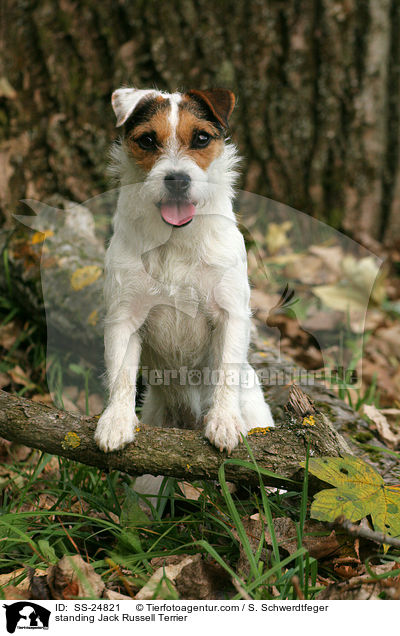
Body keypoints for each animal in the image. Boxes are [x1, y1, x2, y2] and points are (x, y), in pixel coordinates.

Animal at [94, 87, 276, 454]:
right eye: (147, 140)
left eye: (202, 138)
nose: (177, 179)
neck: (176, 239)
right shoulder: (123, 317)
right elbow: (121, 374)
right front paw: (115, 421)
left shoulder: (231, 314)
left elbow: (226, 371)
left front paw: (224, 420)